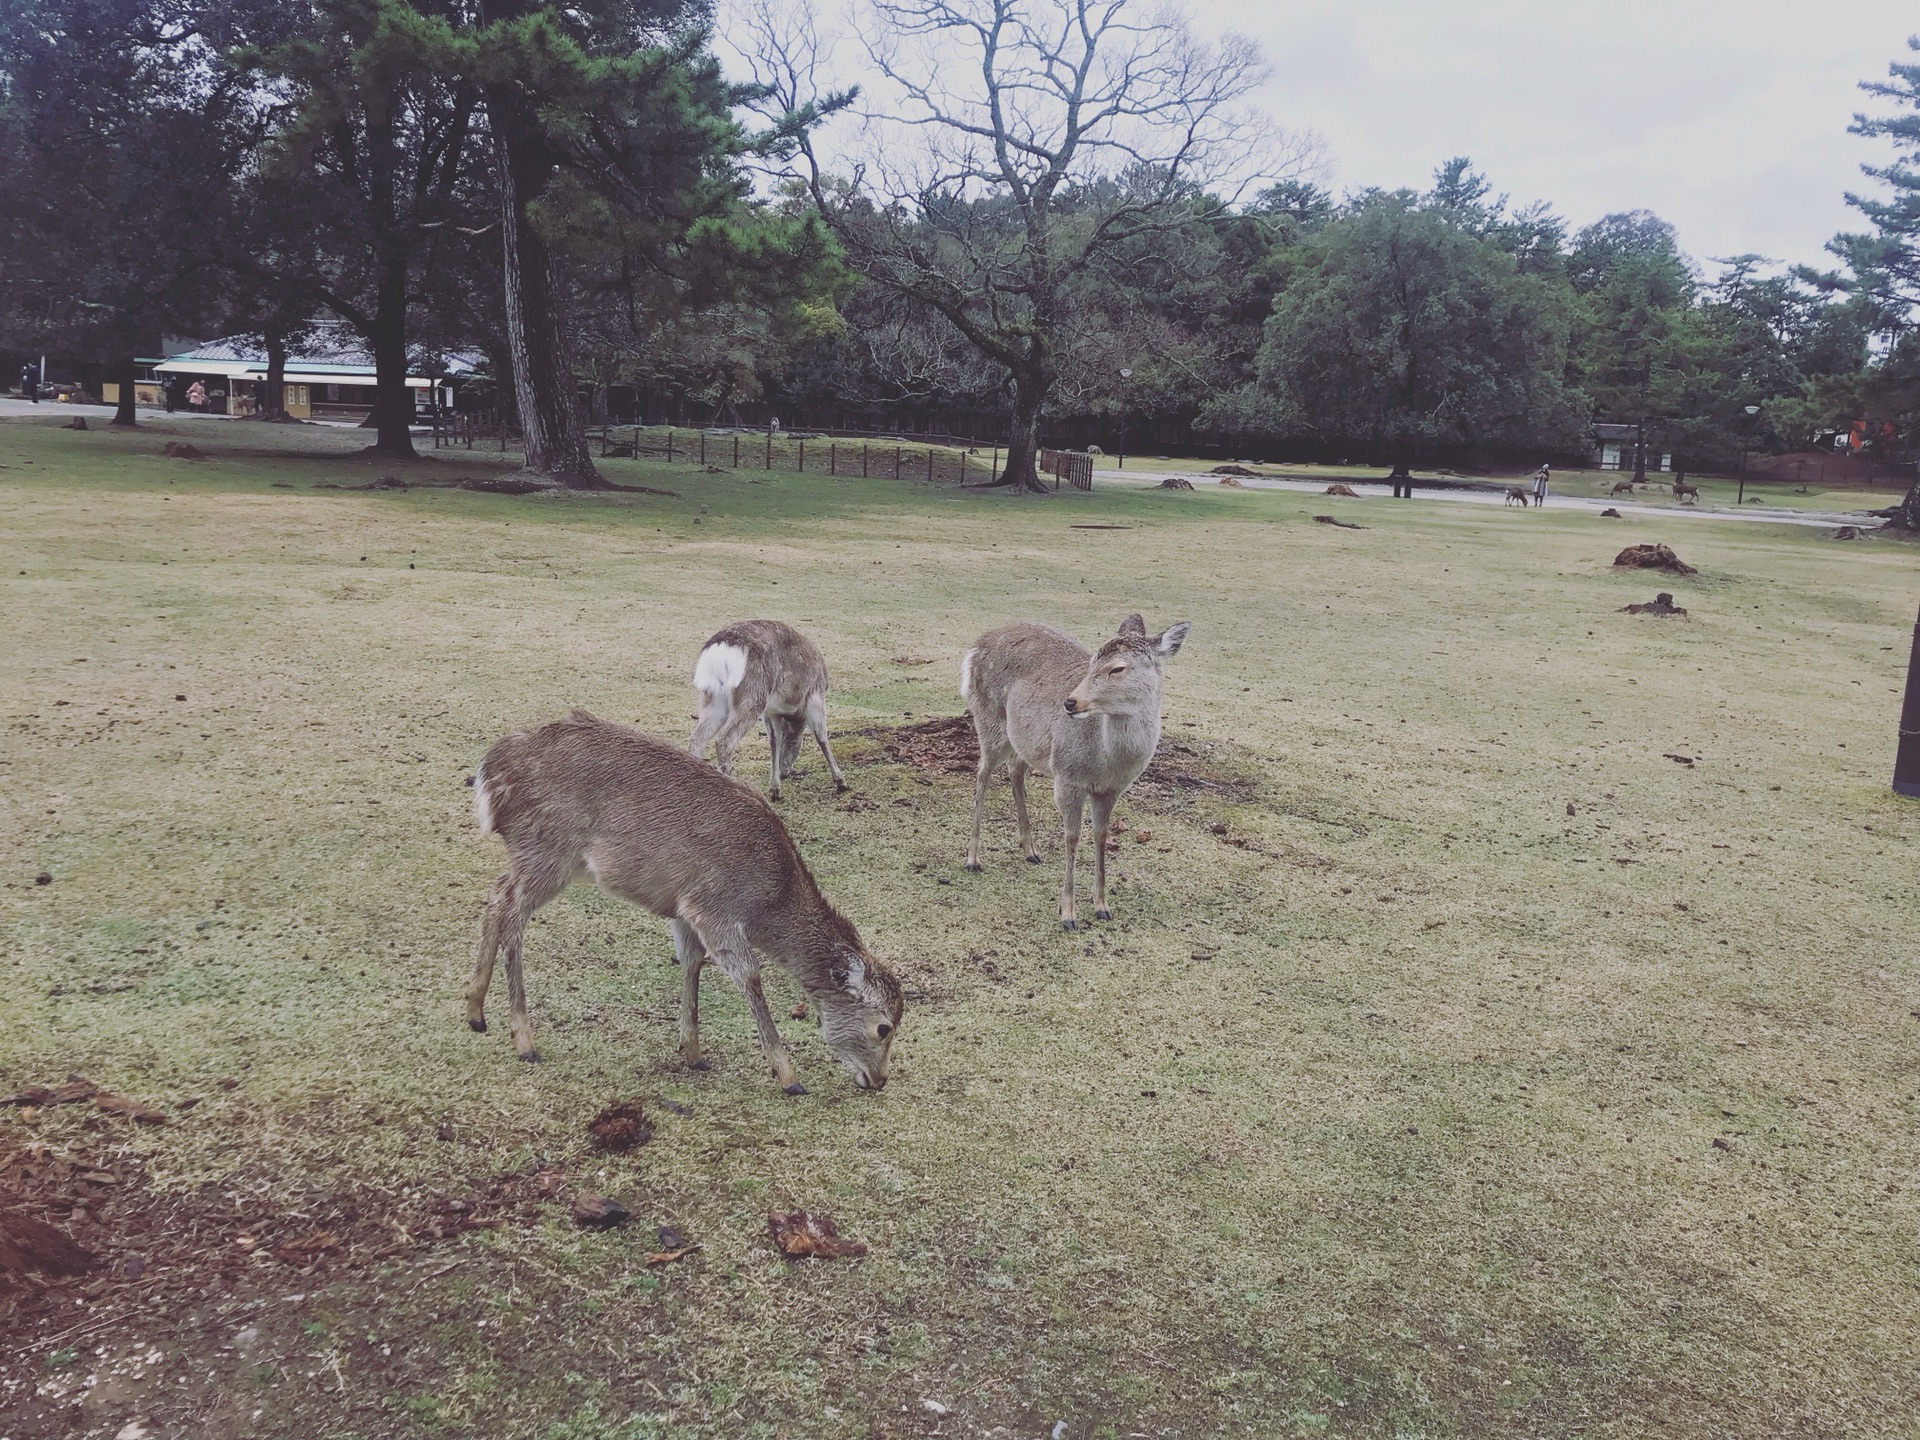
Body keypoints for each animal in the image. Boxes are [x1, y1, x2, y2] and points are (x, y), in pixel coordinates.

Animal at [476, 718, 902, 1098]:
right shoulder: (713, 907)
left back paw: (475, 1012)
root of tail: (488, 773)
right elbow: (748, 974)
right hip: (548, 851)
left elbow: (691, 961)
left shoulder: (683, 909)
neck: (769, 898)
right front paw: (788, 1076)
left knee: (496, 892)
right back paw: (523, 1040)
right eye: (884, 1027)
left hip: (543, 858)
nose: (879, 1080)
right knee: (513, 910)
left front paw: (693, 1053)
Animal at [687, 622, 844, 802]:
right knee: (724, 741)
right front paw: (841, 782)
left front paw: (775, 790)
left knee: (697, 738)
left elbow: (774, 742)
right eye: (795, 743)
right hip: (753, 695)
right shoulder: (815, 695)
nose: (784, 772)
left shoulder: (771, 712)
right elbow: (821, 737)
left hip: (713, 697)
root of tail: (721, 647)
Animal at [967, 622, 1190, 936]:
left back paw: (1030, 850)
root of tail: (977, 645)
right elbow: (1072, 837)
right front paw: (1068, 915)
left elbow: (1101, 836)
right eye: (1092, 661)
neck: (1106, 760)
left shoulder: (1111, 790)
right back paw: (973, 859)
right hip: (988, 720)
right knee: (982, 773)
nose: (1070, 702)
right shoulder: (1067, 777)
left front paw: (1102, 907)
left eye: (1117, 668)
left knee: (1015, 771)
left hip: (1023, 741)